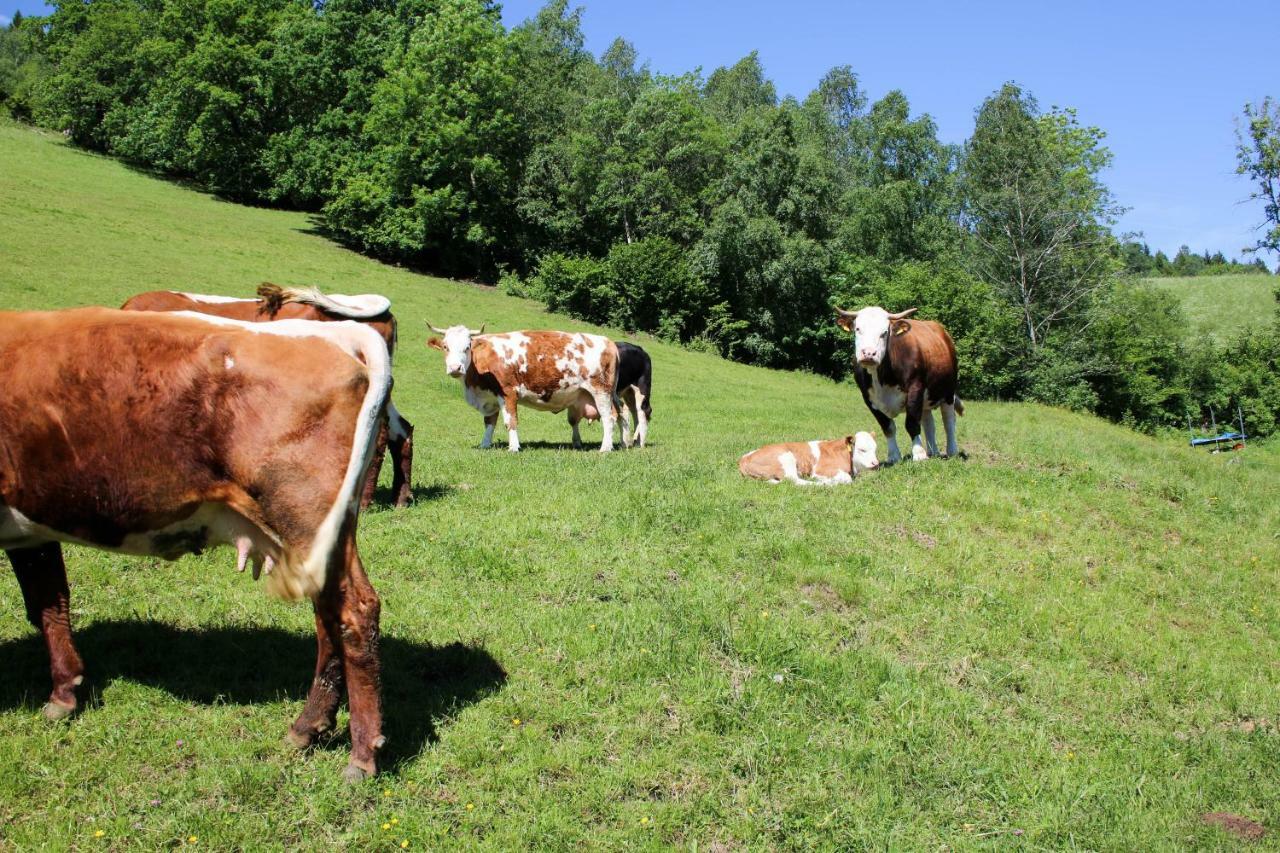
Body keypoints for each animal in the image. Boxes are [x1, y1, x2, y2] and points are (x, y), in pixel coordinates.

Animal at [0, 306, 389, 778]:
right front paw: (64, 691)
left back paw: (362, 753)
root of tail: (339, 332)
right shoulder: (30, 527)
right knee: (328, 612)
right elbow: (49, 603)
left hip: (303, 512)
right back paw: (307, 727)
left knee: (355, 611)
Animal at [427, 322, 627, 450]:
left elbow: (510, 421)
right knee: (622, 414)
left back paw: (605, 448)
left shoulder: (508, 392)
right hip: (609, 394)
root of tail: (608, 342)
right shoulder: (490, 398)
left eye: (467, 346)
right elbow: (489, 423)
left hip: (601, 391)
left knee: (609, 417)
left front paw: (514, 447)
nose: (455, 368)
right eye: (445, 346)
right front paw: (485, 445)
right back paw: (624, 443)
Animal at [742, 432, 880, 484]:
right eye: (862, 449)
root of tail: (743, 459)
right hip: (786, 458)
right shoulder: (821, 469)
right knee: (795, 481)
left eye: (875, 449)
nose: (876, 463)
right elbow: (847, 478)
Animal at [834, 306, 962, 461]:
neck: (882, 380)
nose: (869, 353)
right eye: (858, 329)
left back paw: (952, 450)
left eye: (884, 332)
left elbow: (912, 424)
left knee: (948, 420)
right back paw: (933, 452)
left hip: (948, 391)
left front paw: (919, 454)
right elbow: (888, 427)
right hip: (926, 399)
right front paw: (894, 456)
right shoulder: (868, 398)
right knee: (929, 422)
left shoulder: (915, 389)